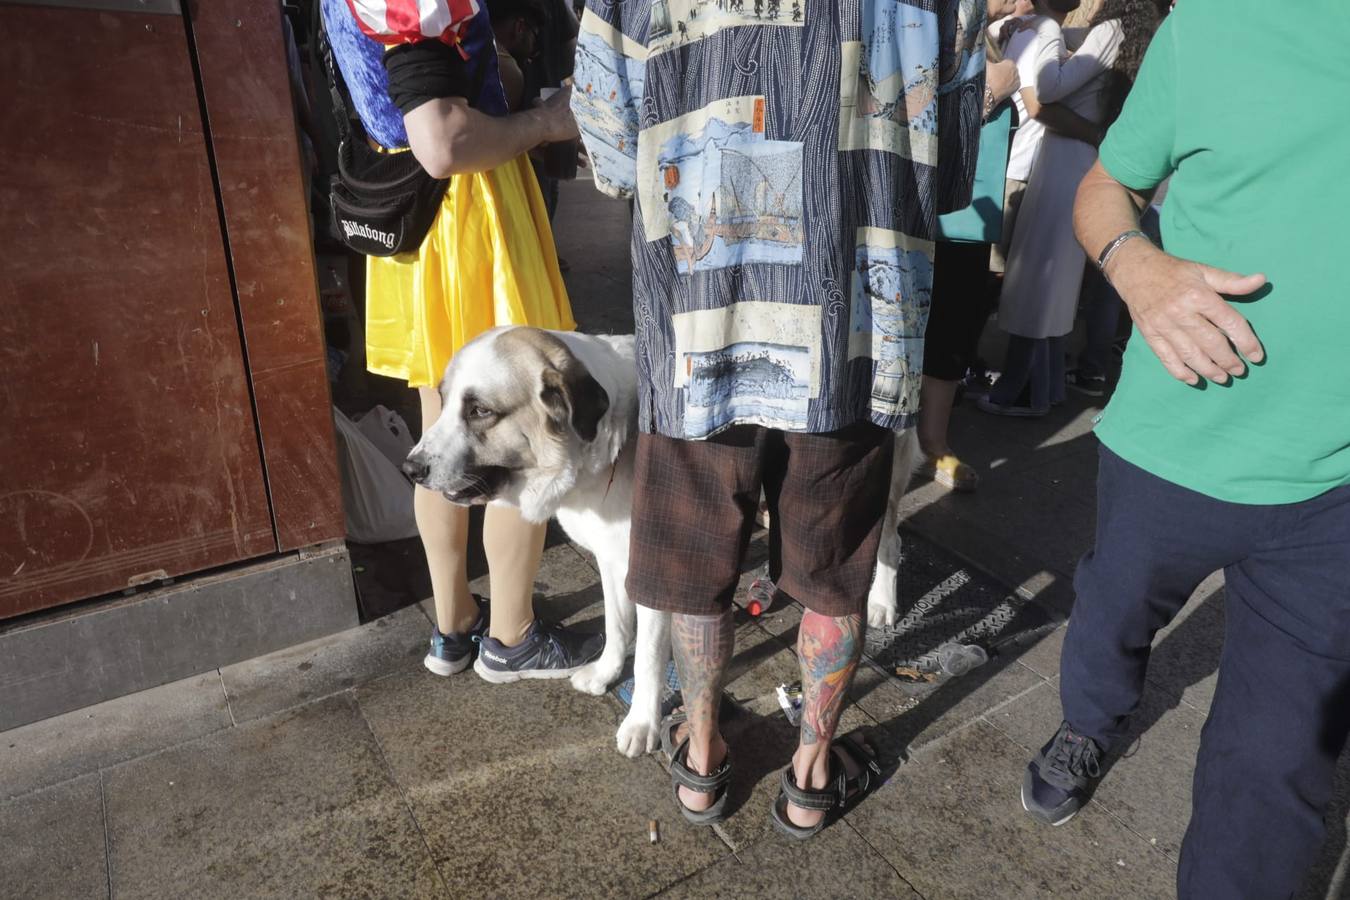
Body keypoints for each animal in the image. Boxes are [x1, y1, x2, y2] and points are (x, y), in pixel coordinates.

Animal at [407, 327, 918, 755]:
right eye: (443, 401)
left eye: (479, 411)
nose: (411, 469)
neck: (603, 445)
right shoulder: (613, 562)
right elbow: (617, 627)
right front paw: (607, 672)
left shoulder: (657, 570)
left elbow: (650, 658)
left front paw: (641, 724)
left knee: (890, 542)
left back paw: (881, 604)